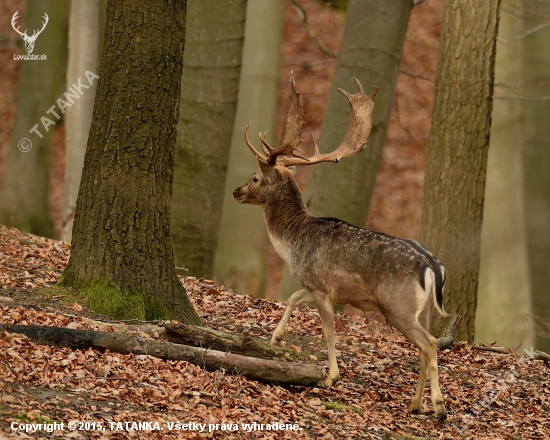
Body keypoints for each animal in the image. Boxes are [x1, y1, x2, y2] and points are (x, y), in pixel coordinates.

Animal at [235, 76, 450, 422]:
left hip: (398, 307)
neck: (292, 242)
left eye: (255, 178)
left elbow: (329, 331)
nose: (236, 191)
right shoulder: (317, 286)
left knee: (429, 344)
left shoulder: (321, 287)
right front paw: (276, 336)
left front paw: (331, 376)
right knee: (423, 347)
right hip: (425, 310)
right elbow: (293, 297)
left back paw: (439, 407)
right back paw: (415, 405)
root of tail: (433, 265)